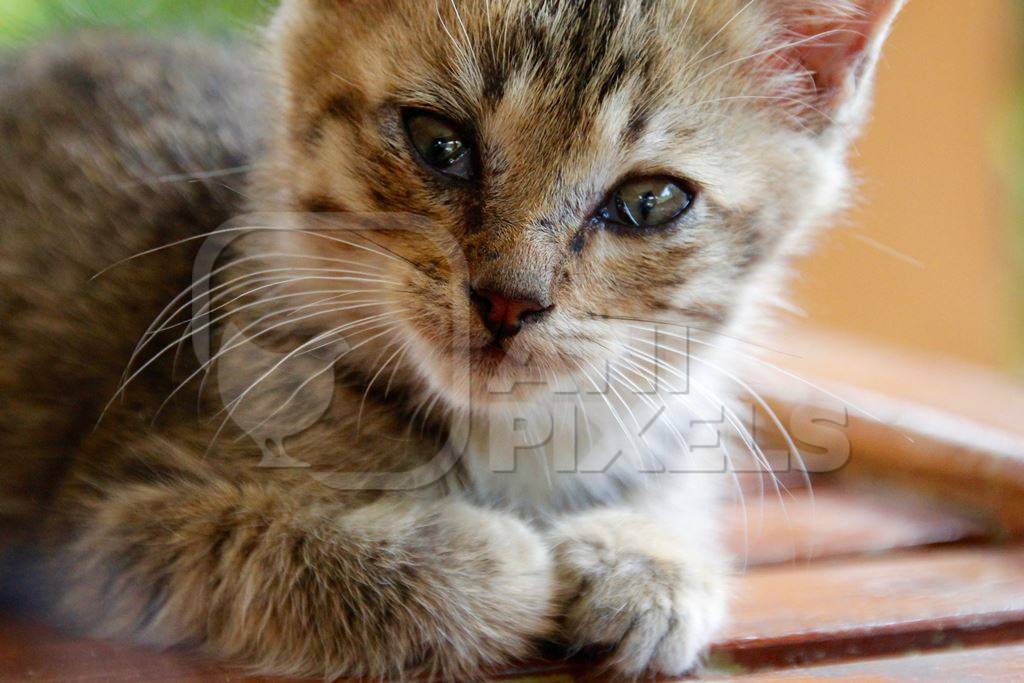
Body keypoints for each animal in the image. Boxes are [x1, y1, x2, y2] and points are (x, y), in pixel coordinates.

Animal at [2, 0, 905, 679]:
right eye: (439, 142)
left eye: (651, 201)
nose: (510, 301)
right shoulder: (109, 522)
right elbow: (276, 547)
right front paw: (504, 559)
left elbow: (674, 501)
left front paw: (648, 563)